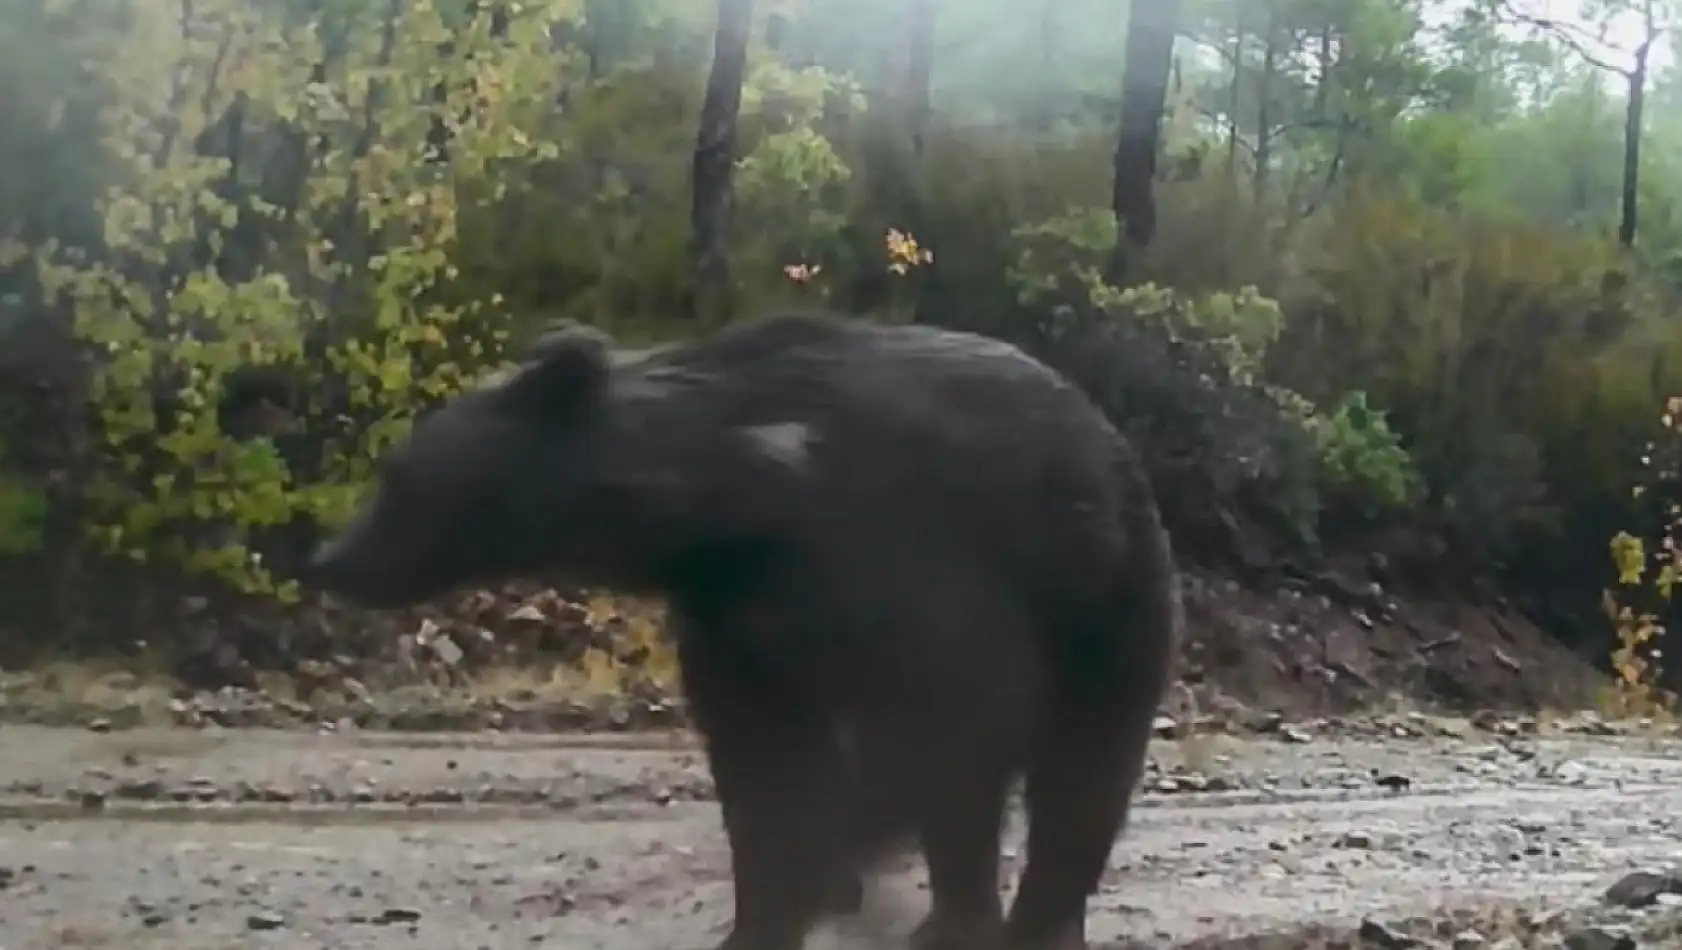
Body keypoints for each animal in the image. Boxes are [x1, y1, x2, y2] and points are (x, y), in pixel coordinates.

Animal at [306, 311, 1184, 948]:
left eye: (398, 477)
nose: (325, 558)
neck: (734, 508)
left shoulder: (903, 567)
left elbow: (954, 718)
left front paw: (842, 868)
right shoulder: (735, 622)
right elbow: (758, 767)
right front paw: (769, 912)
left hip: (1110, 606)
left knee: (1081, 779)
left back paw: (1022, 919)